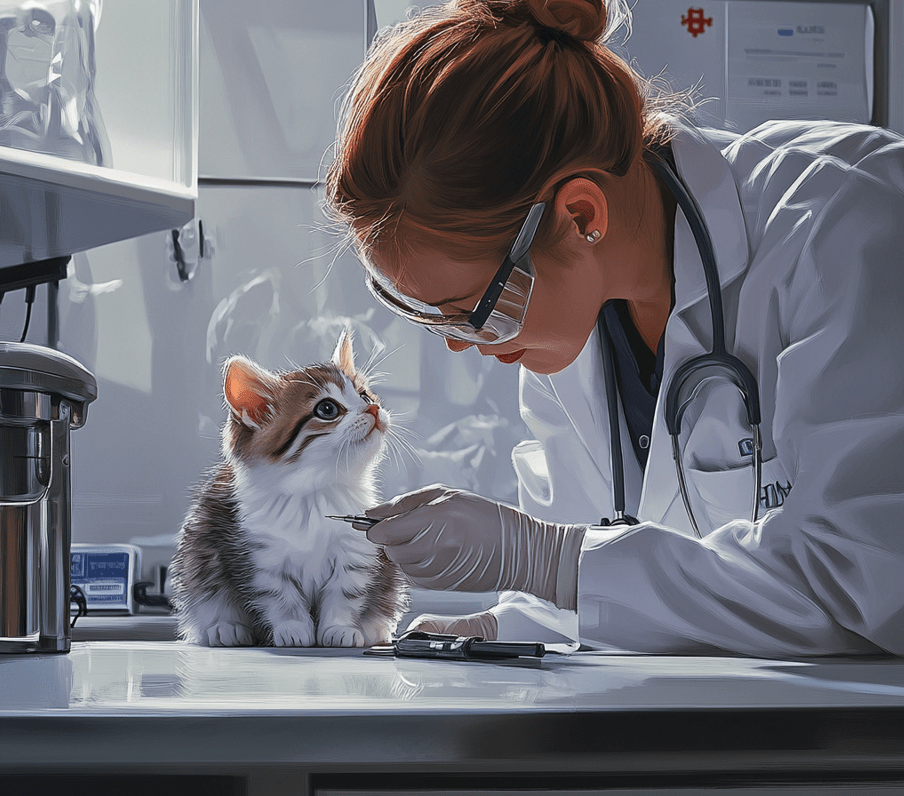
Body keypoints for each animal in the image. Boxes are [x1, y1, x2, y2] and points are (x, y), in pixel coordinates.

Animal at [170, 330, 410, 648]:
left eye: (364, 395)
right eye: (327, 409)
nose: (373, 408)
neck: (317, 491)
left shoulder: (355, 555)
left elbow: (344, 596)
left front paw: (338, 629)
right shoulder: (260, 558)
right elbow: (282, 599)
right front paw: (293, 629)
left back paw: (374, 629)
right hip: (198, 556)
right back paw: (225, 627)